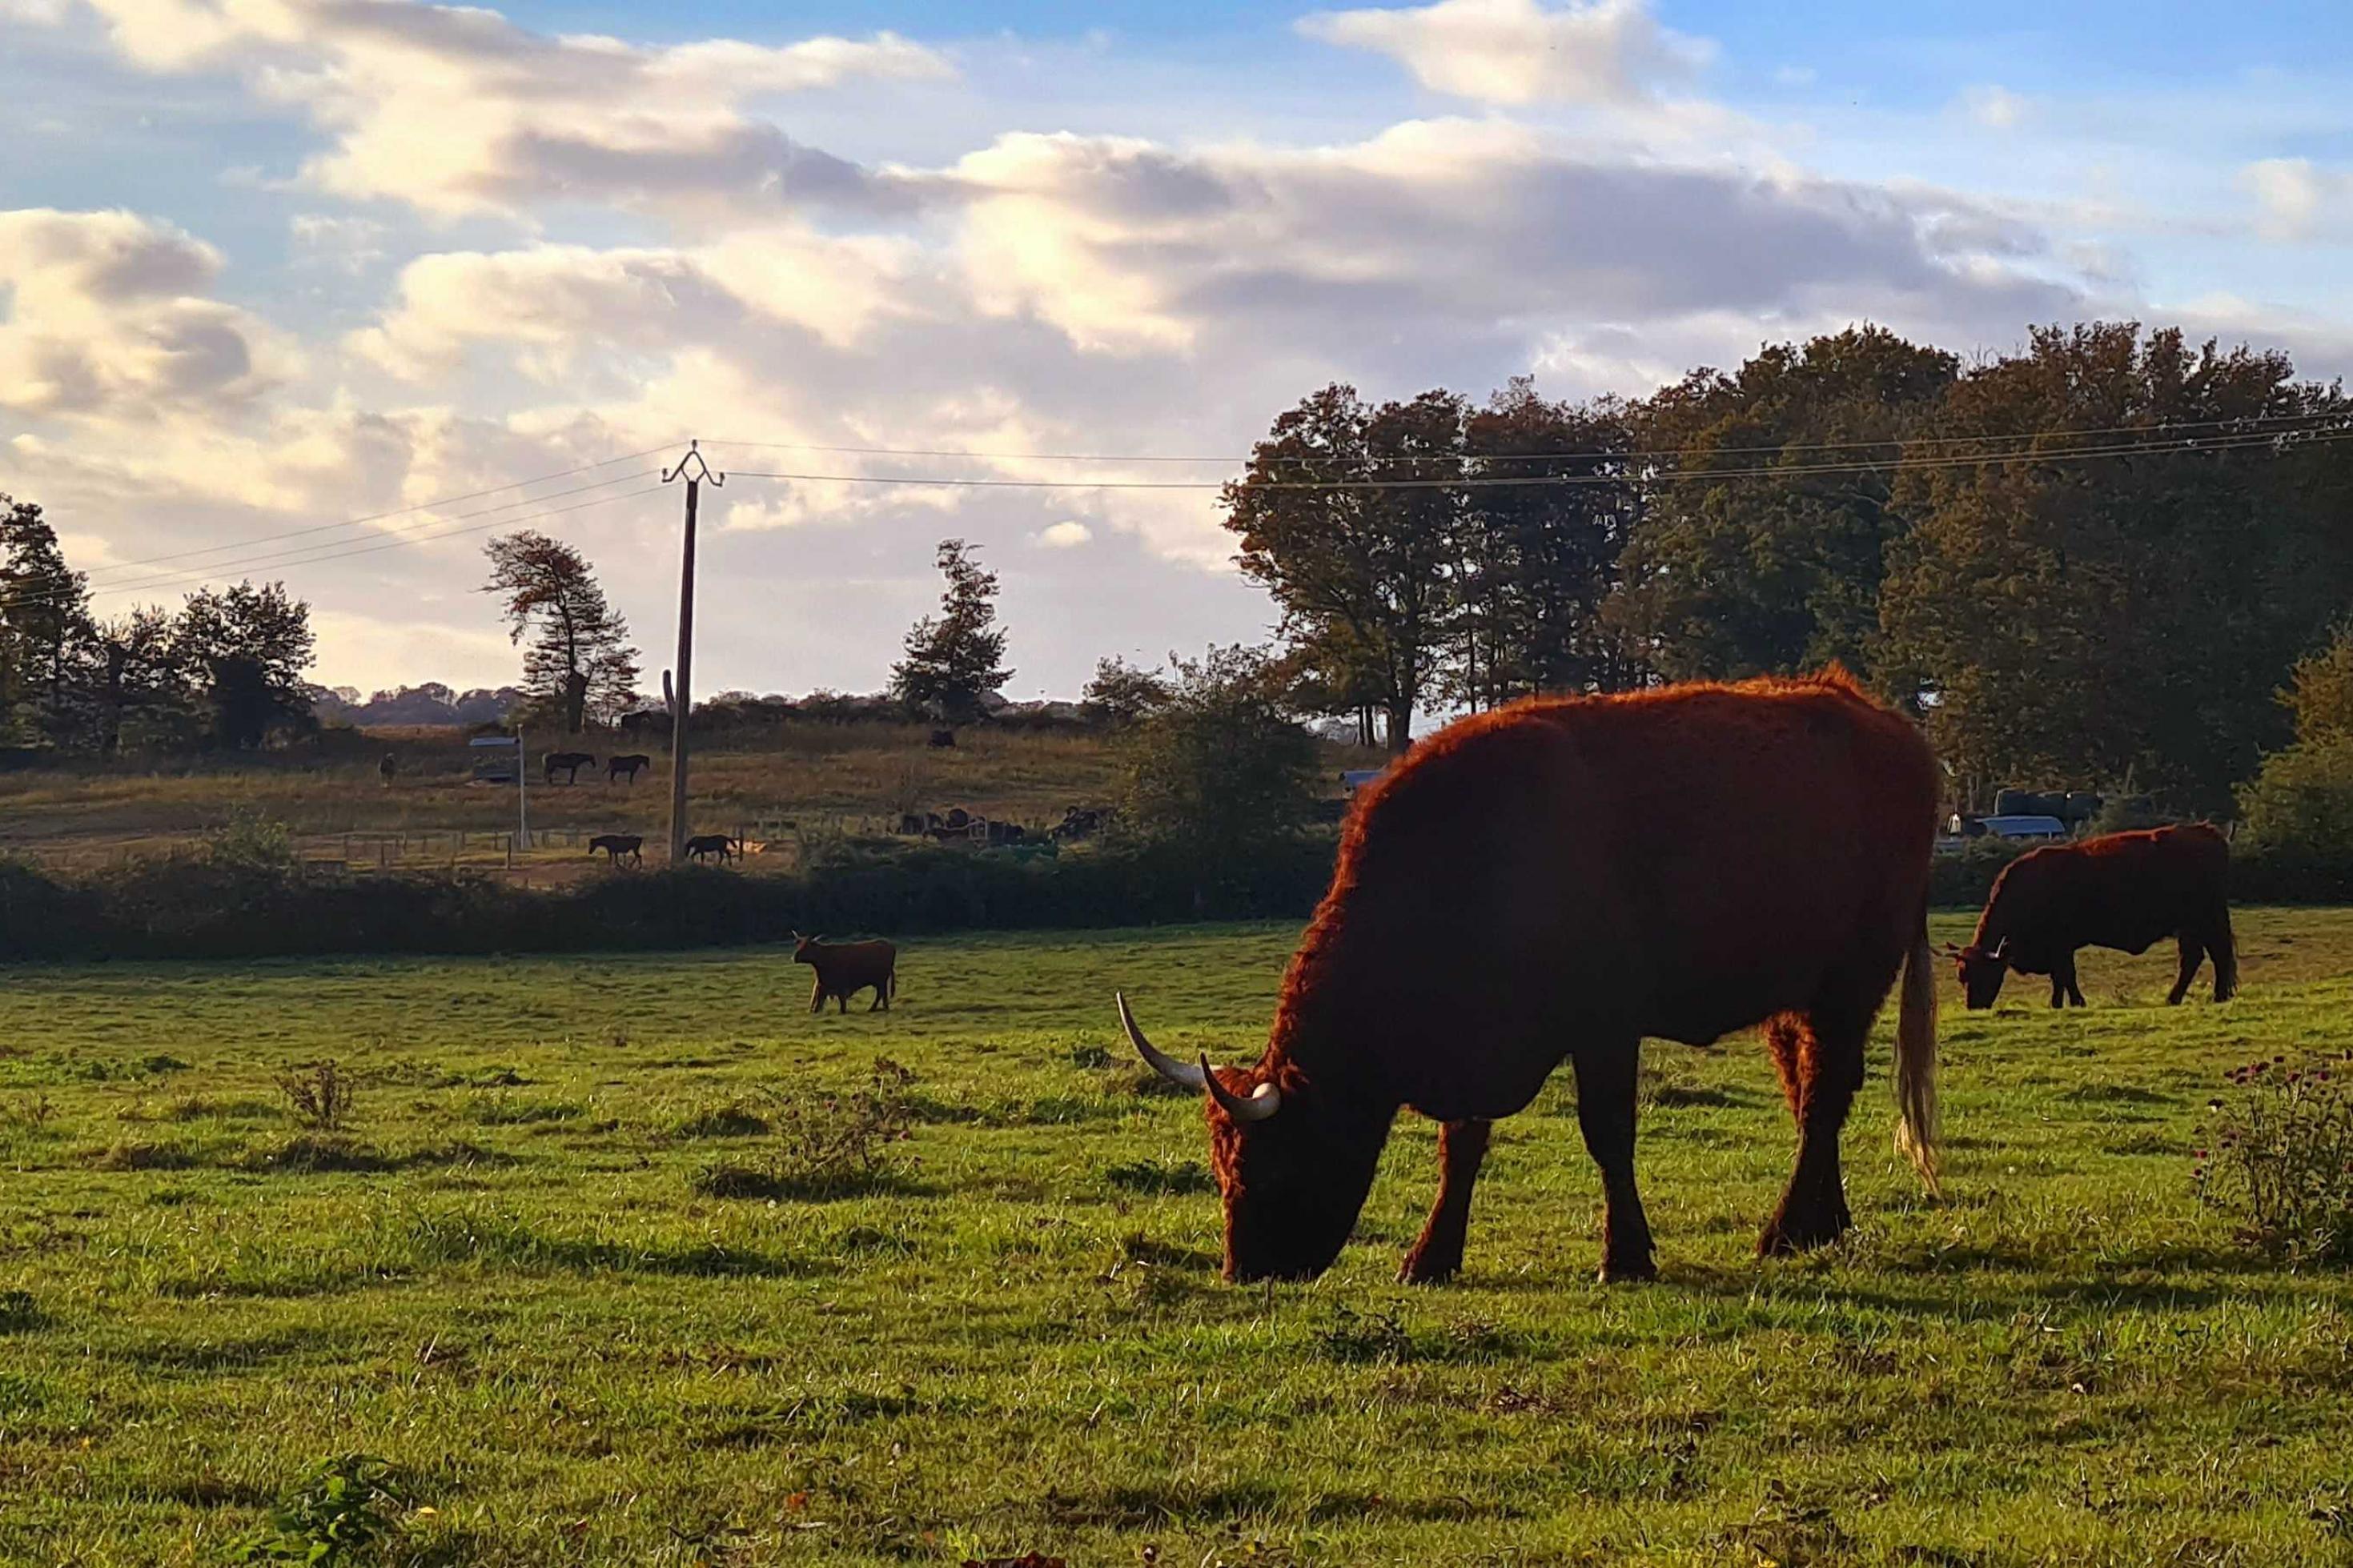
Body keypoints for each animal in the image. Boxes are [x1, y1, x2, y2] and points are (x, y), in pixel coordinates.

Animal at [792, 932, 897, 1013]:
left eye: (807, 946)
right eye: (799, 945)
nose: (795, 957)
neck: (825, 957)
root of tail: (888, 944)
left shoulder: (840, 985)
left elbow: (841, 999)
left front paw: (842, 1011)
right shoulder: (823, 984)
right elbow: (819, 999)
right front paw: (816, 1010)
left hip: (881, 980)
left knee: (881, 994)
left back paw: (877, 1008)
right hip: (880, 981)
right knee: (882, 994)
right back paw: (881, 1008)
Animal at [1116, 669, 1941, 1287]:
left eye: (1272, 1165)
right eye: (1219, 1169)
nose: (1244, 1269)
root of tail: (1875, 716)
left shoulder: (1605, 1025)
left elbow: (1607, 1134)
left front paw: (1625, 1255)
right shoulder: (1475, 1037)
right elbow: (1462, 1143)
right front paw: (1432, 1255)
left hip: (1853, 979)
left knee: (1825, 1093)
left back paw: (1786, 1229)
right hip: (1794, 997)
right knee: (1812, 1091)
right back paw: (1824, 1223)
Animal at [1947, 823, 2237, 1010]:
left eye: (1983, 975)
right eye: (1962, 976)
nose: (1974, 1007)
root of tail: (2206, 832)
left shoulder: (2061, 946)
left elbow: (2067, 975)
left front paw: (2076, 1002)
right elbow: (2059, 978)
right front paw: (2057, 1004)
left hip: (2203, 921)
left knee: (2215, 955)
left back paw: (2211, 996)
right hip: (2191, 927)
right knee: (2196, 958)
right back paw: (2183, 997)